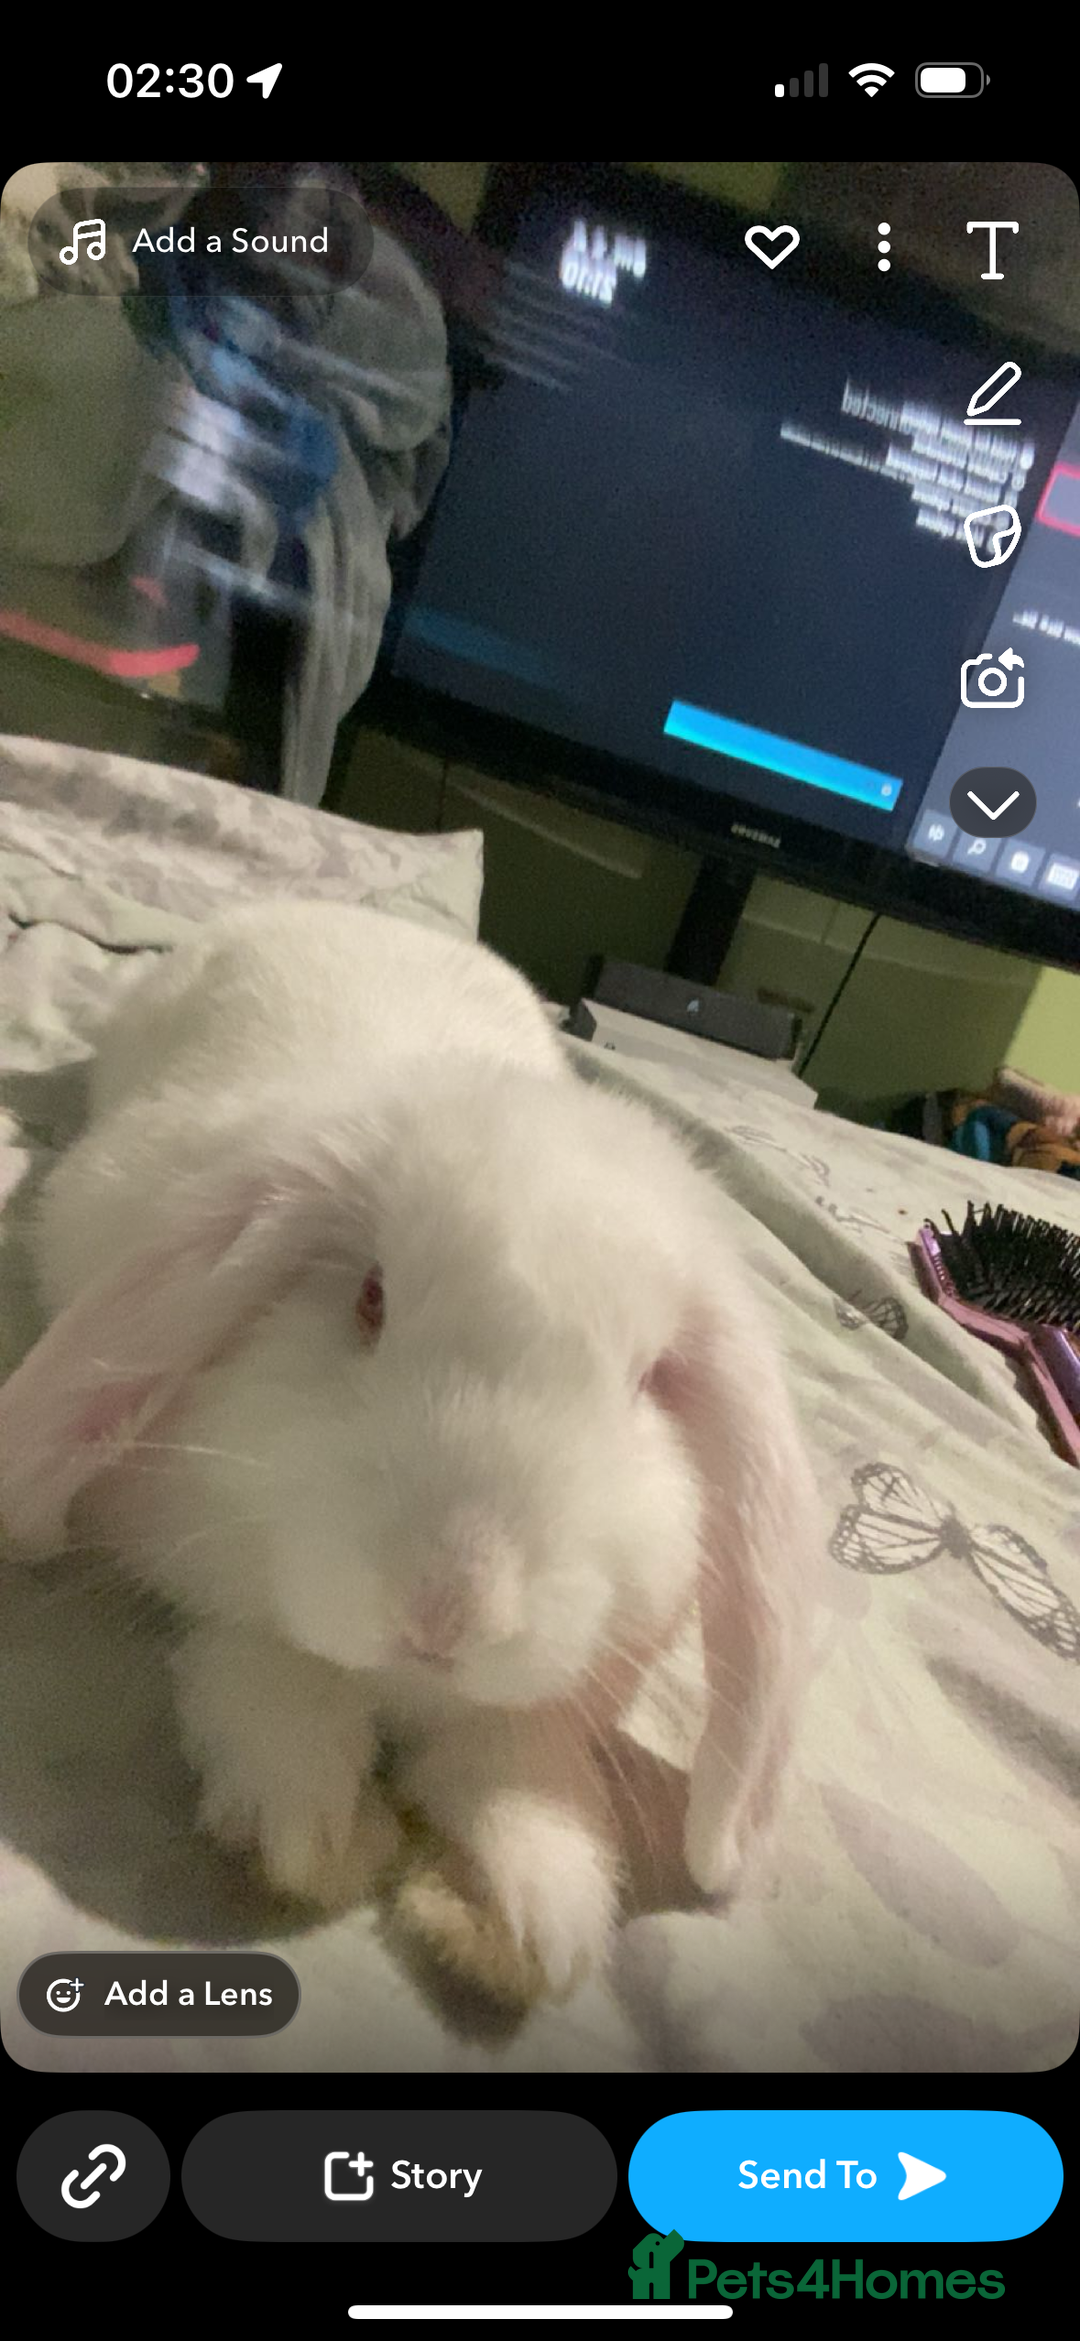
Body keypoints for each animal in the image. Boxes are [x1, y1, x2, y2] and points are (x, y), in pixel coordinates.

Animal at [0, 899, 822, 1999]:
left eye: (648, 1380)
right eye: (370, 1298)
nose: (448, 1611)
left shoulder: (536, 1700)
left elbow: (514, 1770)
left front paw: (526, 1916)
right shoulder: (219, 1590)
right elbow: (272, 1671)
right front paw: (316, 1831)